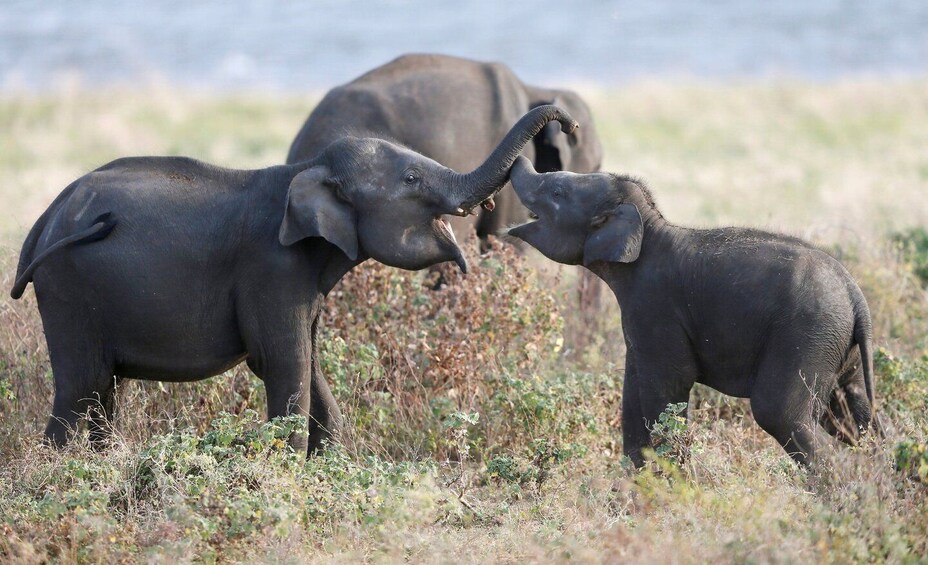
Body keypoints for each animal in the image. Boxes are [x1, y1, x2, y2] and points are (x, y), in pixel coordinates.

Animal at [10, 104, 580, 450]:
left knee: (104, 393)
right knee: (81, 389)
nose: (569, 126)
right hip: (68, 289)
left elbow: (310, 363)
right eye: (412, 177)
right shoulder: (273, 268)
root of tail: (44, 221)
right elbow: (284, 365)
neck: (308, 168)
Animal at [508, 156, 876, 464]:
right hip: (836, 346)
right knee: (855, 413)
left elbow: (669, 387)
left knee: (780, 413)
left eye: (557, 192)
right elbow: (633, 399)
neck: (649, 226)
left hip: (806, 335)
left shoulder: (655, 306)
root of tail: (855, 295)